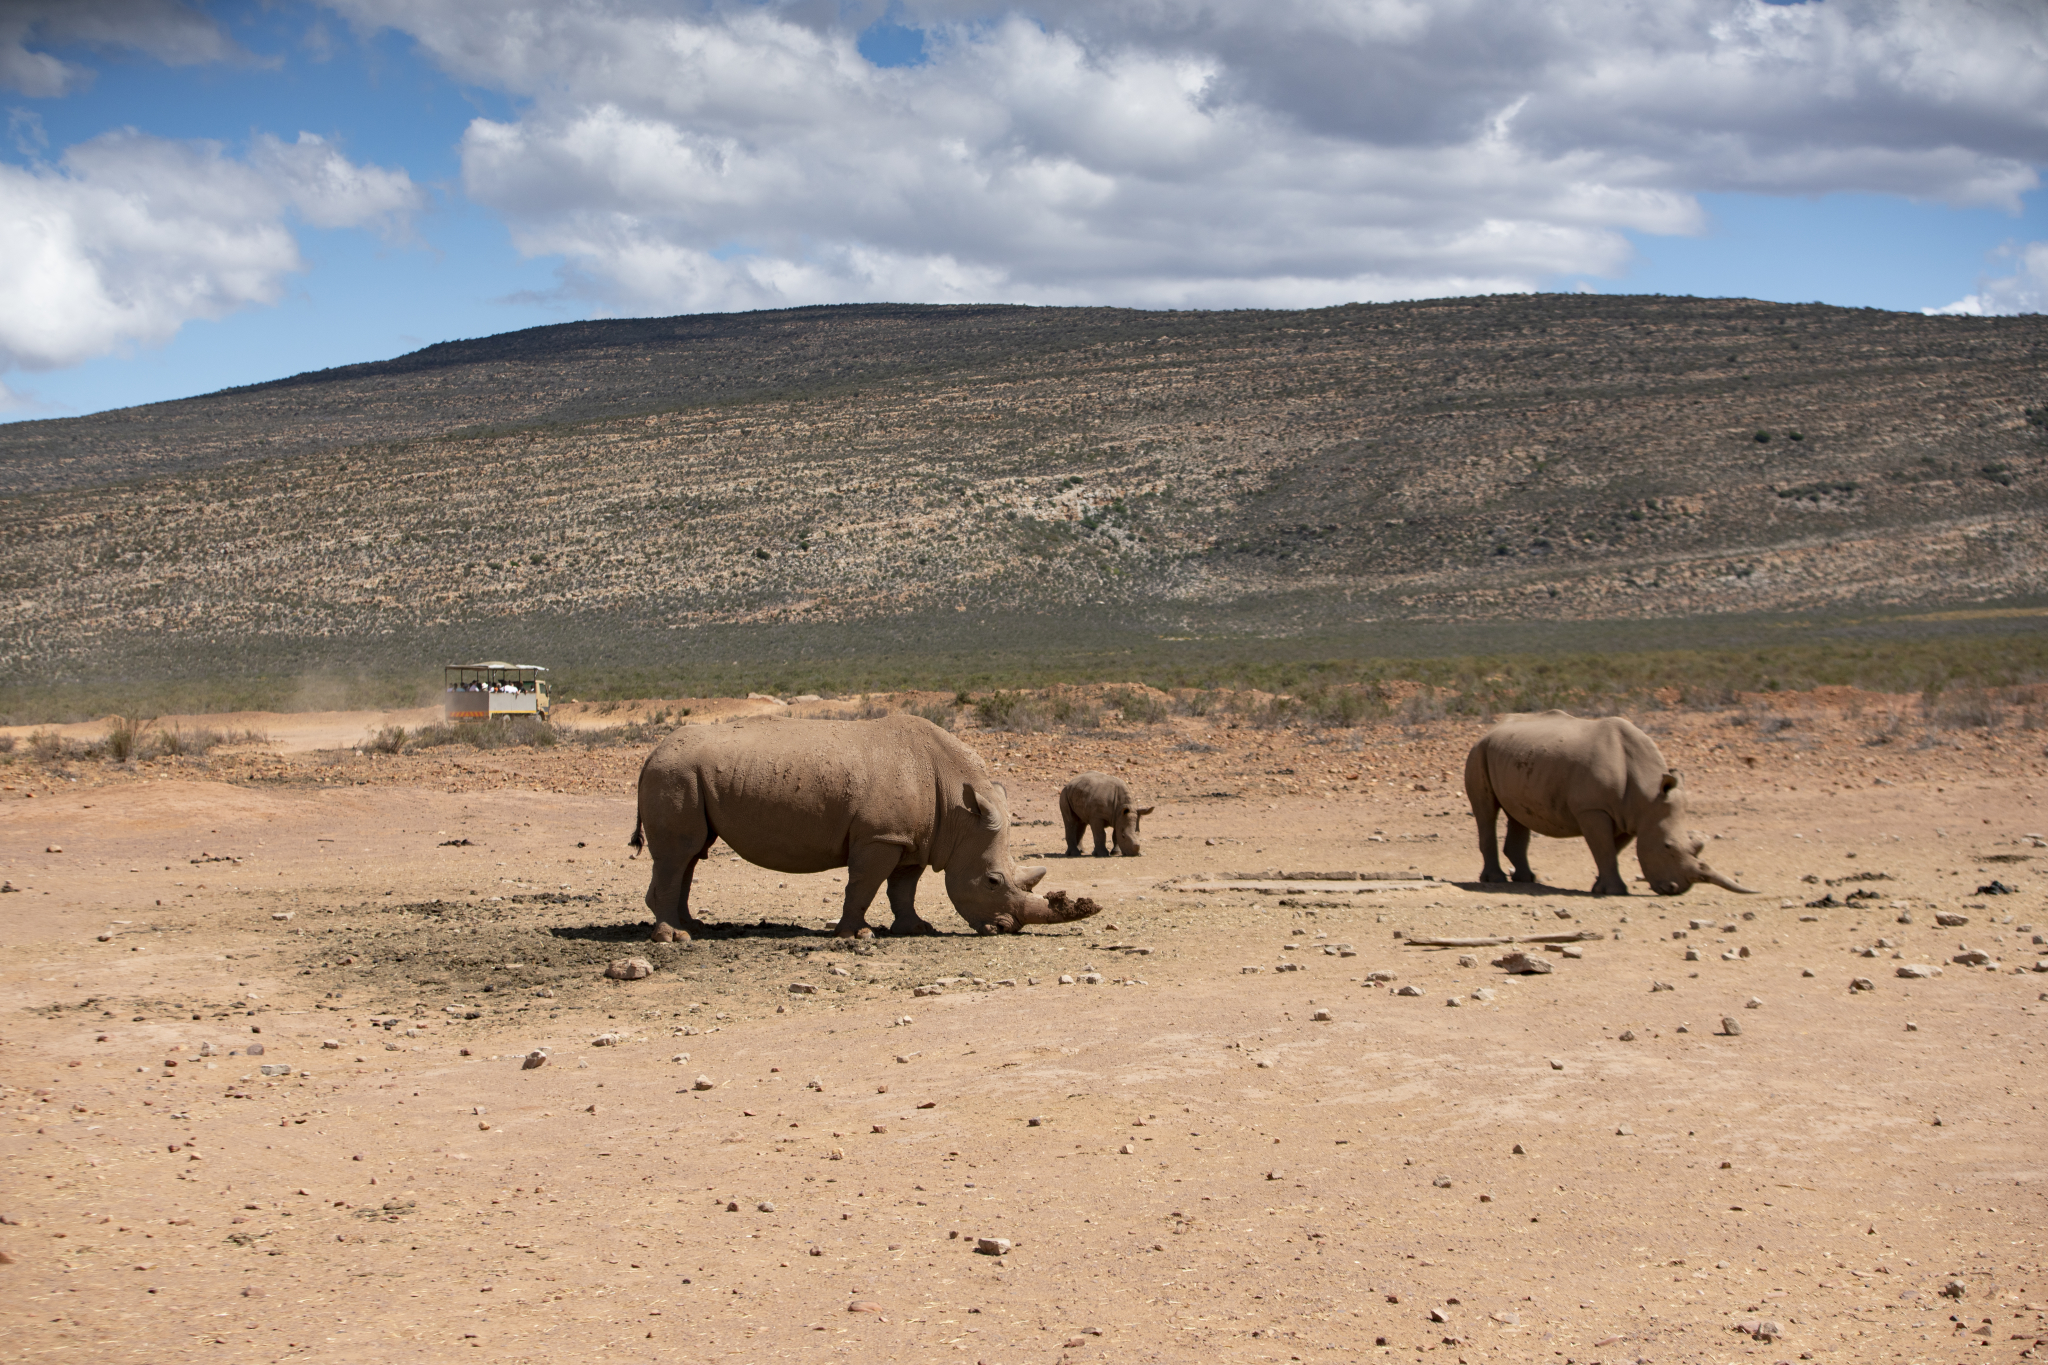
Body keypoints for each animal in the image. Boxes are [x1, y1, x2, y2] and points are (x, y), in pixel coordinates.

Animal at [630, 716, 1105, 941]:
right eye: (992, 881)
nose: (1008, 928)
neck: (959, 808)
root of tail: (650, 754)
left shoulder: (914, 839)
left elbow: (902, 889)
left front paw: (916, 929)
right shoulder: (880, 837)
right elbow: (864, 885)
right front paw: (856, 934)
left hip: (686, 774)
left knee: (691, 854)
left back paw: (694, 928)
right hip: (675, 774)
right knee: (678, 853)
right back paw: (675, 937)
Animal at [1466, 716, 1753, 896]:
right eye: (1667, 846)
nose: (1673, 889)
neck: (1648, 794)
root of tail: (1491, 729)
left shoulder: (1631, 816)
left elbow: (1612, 849)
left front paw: (1598, 886)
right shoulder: (1593, 809)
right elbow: (1602, 848)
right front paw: (1614, 891)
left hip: (1514, 756)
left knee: (1519, 814)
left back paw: (1527, 879)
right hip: (1478, 752)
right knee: (1486, 810)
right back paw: (1495, 880)